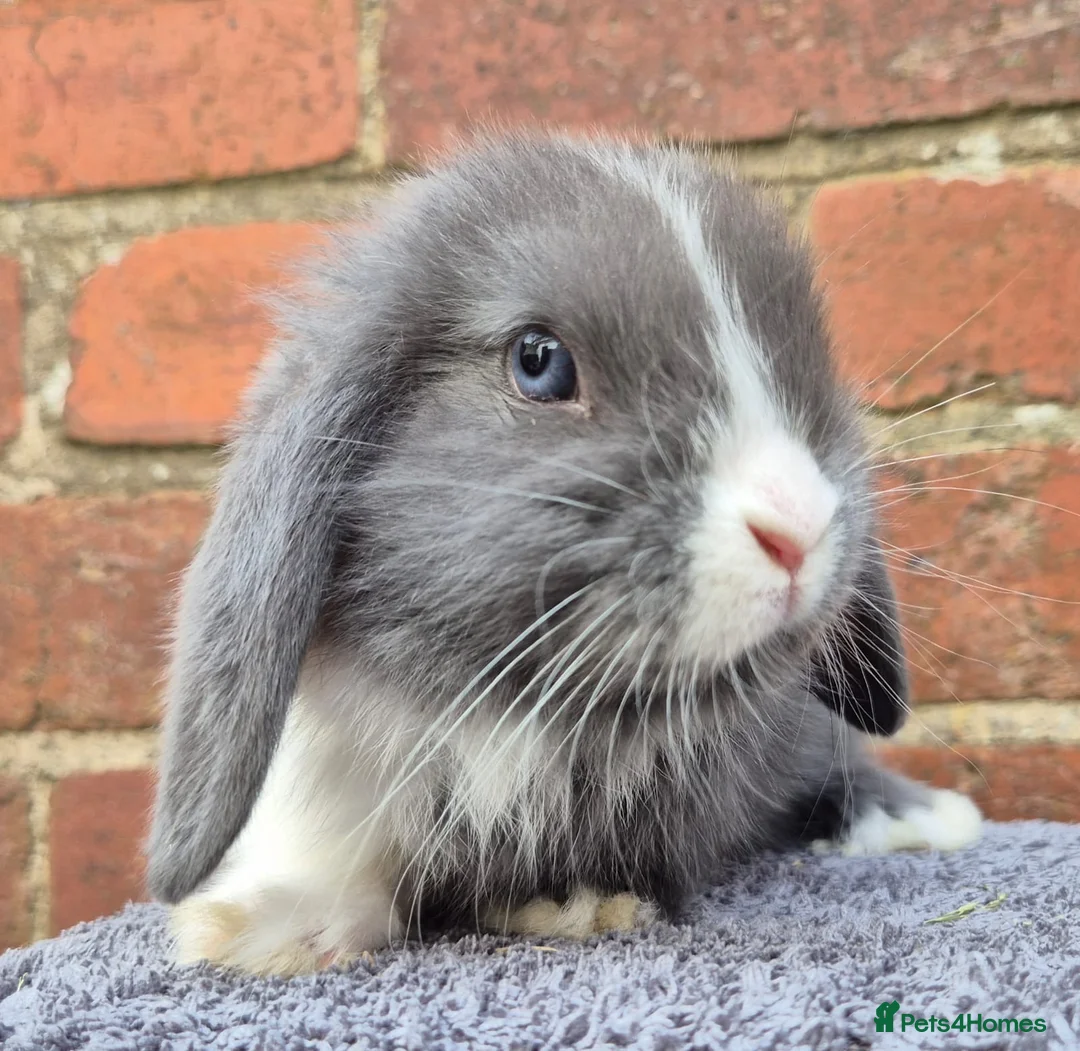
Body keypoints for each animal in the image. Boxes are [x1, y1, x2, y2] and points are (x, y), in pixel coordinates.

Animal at [146, 131, 982, 976]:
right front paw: (258, 925)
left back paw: (928, 818)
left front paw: (575, 901)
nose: (800, 526)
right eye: (538, 360)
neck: (522, 719)